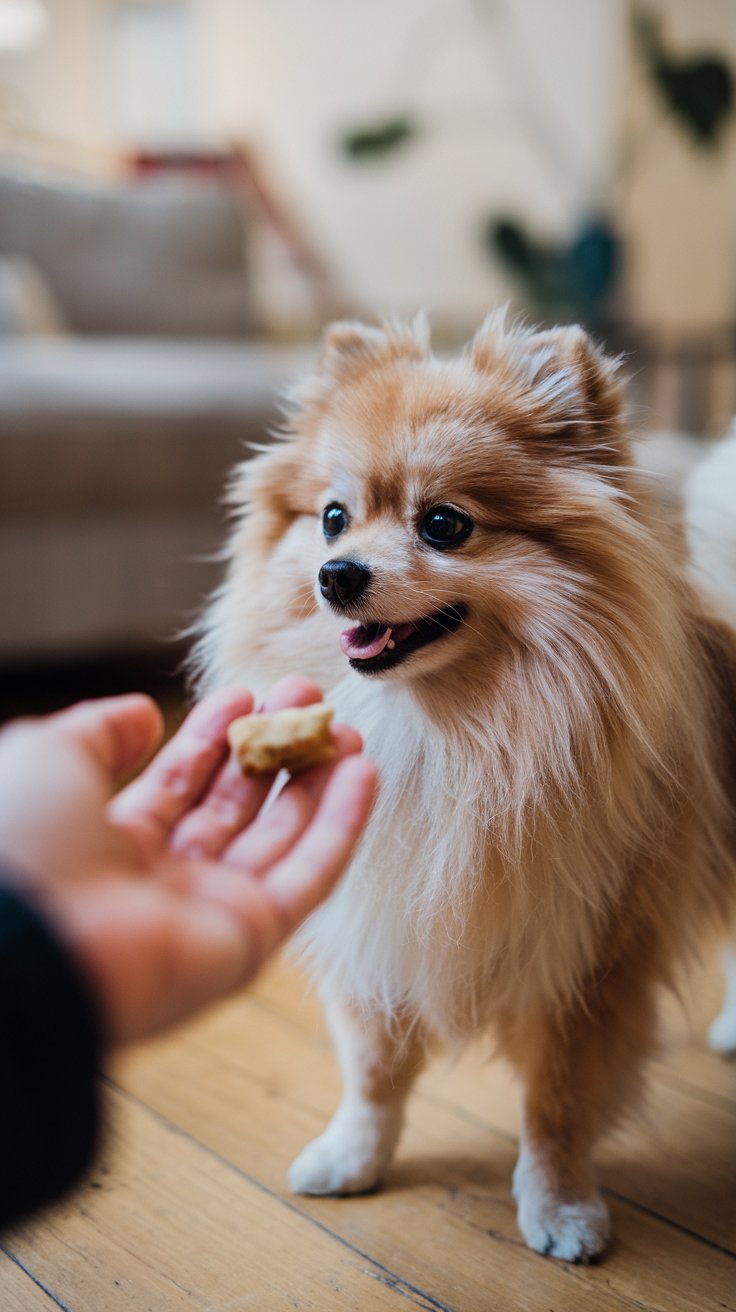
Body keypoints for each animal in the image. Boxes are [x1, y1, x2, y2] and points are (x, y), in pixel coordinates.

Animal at [195, 312, 734, 1264]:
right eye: (332, 519)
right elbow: (373, 1067)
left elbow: (557, 1103)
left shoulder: (592, 955)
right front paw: (352, 1155)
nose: (338, 574)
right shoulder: (377, 920)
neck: (447, 734)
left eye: (444, 524)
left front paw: (561, 1206)